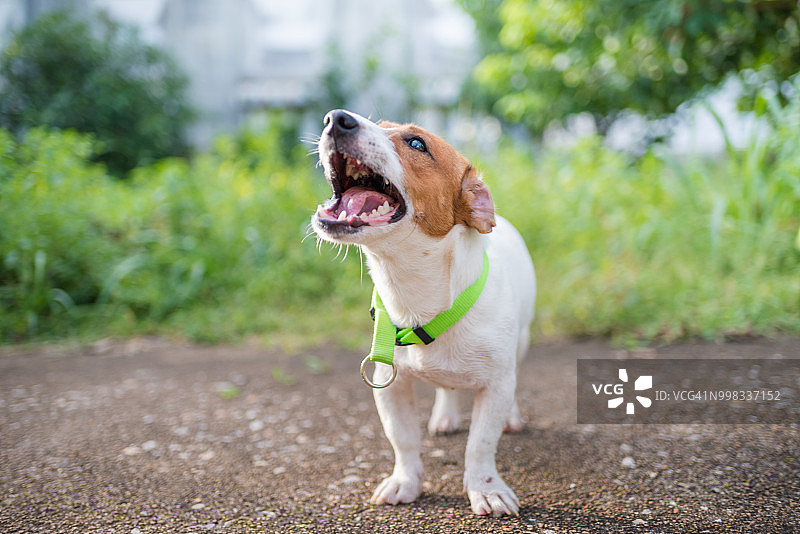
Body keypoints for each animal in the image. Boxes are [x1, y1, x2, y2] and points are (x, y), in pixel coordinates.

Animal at [310, 110, 536, 520]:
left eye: (417, 143)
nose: (336, 118)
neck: (420, 300)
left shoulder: (495, 385)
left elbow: (481, 444)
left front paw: (486, 489)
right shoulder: (389, 384)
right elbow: (402, 439)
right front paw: (406, 482)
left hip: (521, 344)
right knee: (446, 389)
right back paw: (445, 416)